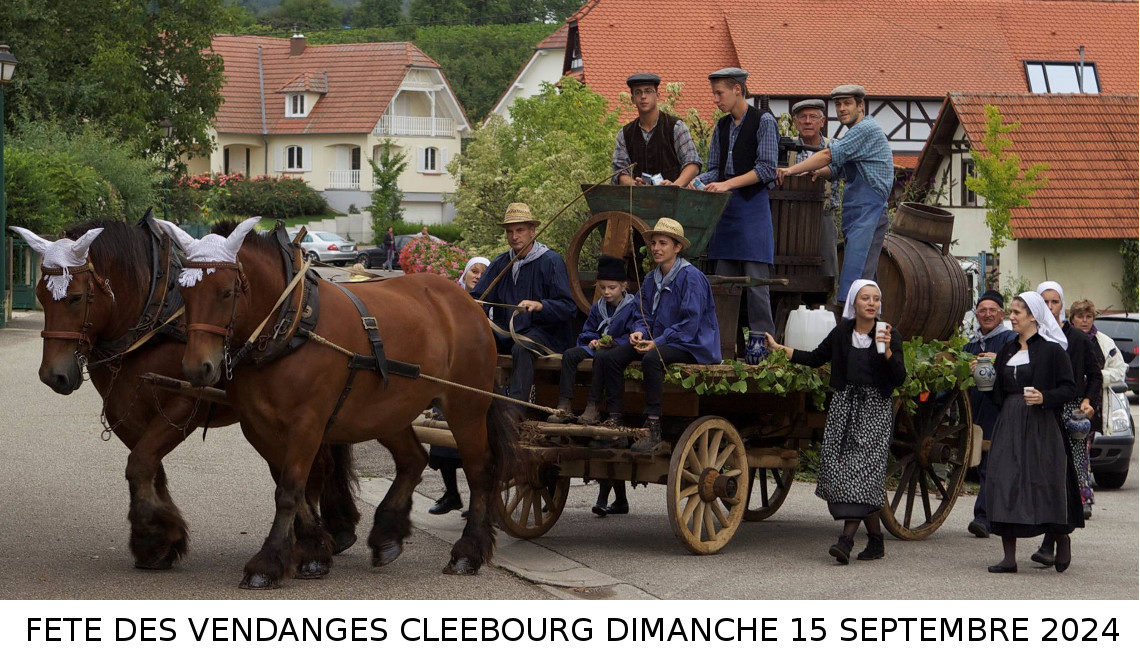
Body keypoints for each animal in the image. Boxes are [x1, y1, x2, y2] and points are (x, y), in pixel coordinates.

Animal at [26, 217, 357, 572]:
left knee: (321, 464)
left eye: (75, 297)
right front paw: (160, 540)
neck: (152, 312)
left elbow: (140, 463)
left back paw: (329, 535)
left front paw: (152, 538)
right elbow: (148, 467)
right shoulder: (123, 413)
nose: (52, 375)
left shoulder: (184, 405)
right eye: (40, 295)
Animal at [165, 221, 513, 588]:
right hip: (386, 411)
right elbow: (294, 489)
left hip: (466, 406)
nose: (197, 367)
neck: (291, 324)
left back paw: (468, 551)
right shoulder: (258, 427)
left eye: (227, 292)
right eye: (183, 293)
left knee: (479, 470)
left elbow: (290, 490)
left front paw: (268, 562)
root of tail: (466, 300)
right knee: (413, 459)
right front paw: (314, 552)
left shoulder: (307, 424)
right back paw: (387, 534)